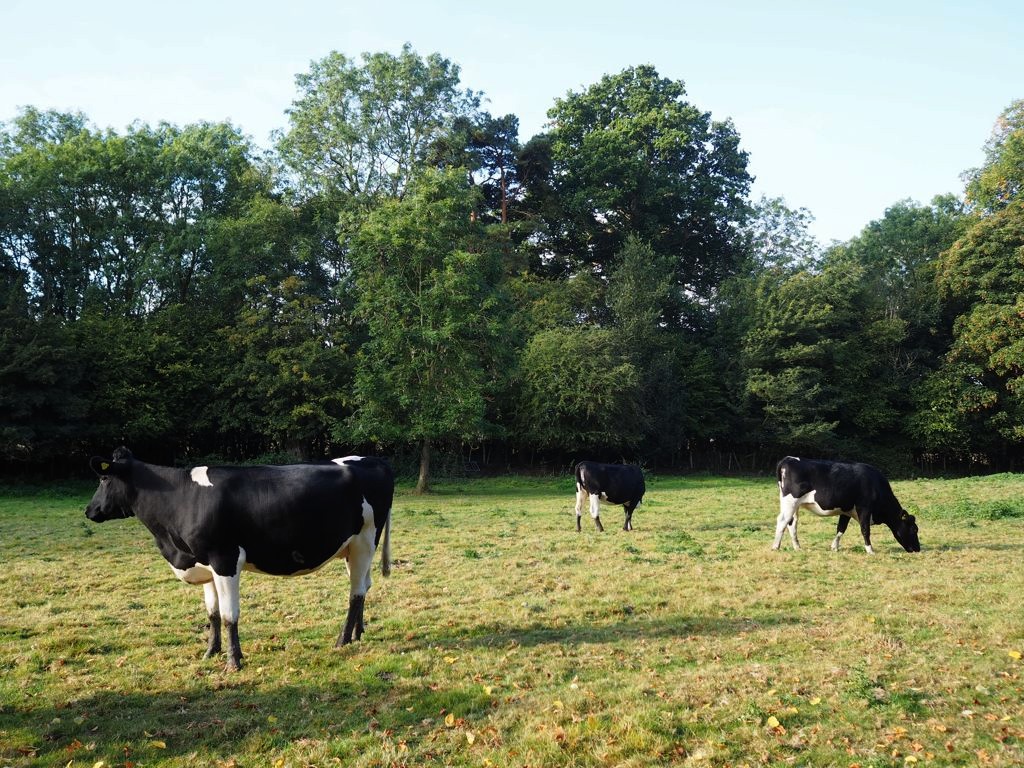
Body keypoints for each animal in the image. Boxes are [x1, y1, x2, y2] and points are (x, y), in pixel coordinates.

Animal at [85, 447, 393, 671]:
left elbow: (229, 615)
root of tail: (374, 459)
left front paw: (233, 662)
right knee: (364, 586)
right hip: (351, 548)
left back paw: (342, 641)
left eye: (103, 479)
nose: (89, 511)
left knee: (355, 594)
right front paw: (211, 651)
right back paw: (358, 633)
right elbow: (212, 613)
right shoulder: (206, 564)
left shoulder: (225, 559)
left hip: (365, 540)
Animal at [773, 456, 920, 554]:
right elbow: (865, 529)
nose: (918, 549)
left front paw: (834, 547)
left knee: (792, 523)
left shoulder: (846, 510)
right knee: (782, 520)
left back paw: (797, 547)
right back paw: (775, 546)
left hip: (794, 505)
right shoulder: (864, 508)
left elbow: (841, 529)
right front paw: (870, 550)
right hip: (790, 501)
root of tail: (788, 459)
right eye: (914, 529)